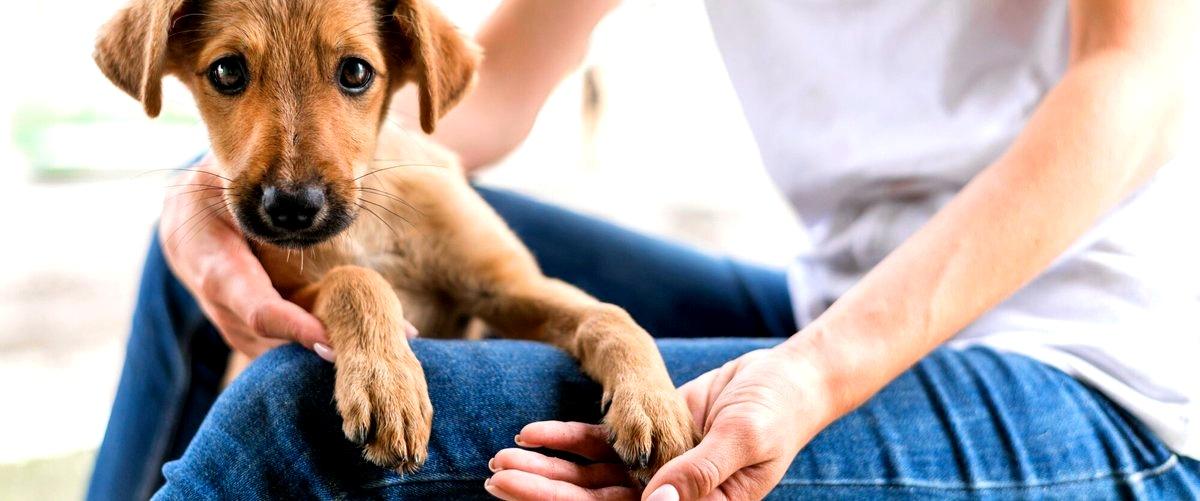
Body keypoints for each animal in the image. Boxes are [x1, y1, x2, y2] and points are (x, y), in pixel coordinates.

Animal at [98, 0, 700, 479]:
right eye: (226, 71)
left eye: (356, 71)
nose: (291, 208)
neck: (370, 222)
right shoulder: (283, 298)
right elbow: (354, 279)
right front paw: (387, 384)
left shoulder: (509, 287)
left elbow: (610, 316)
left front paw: (655, 403)